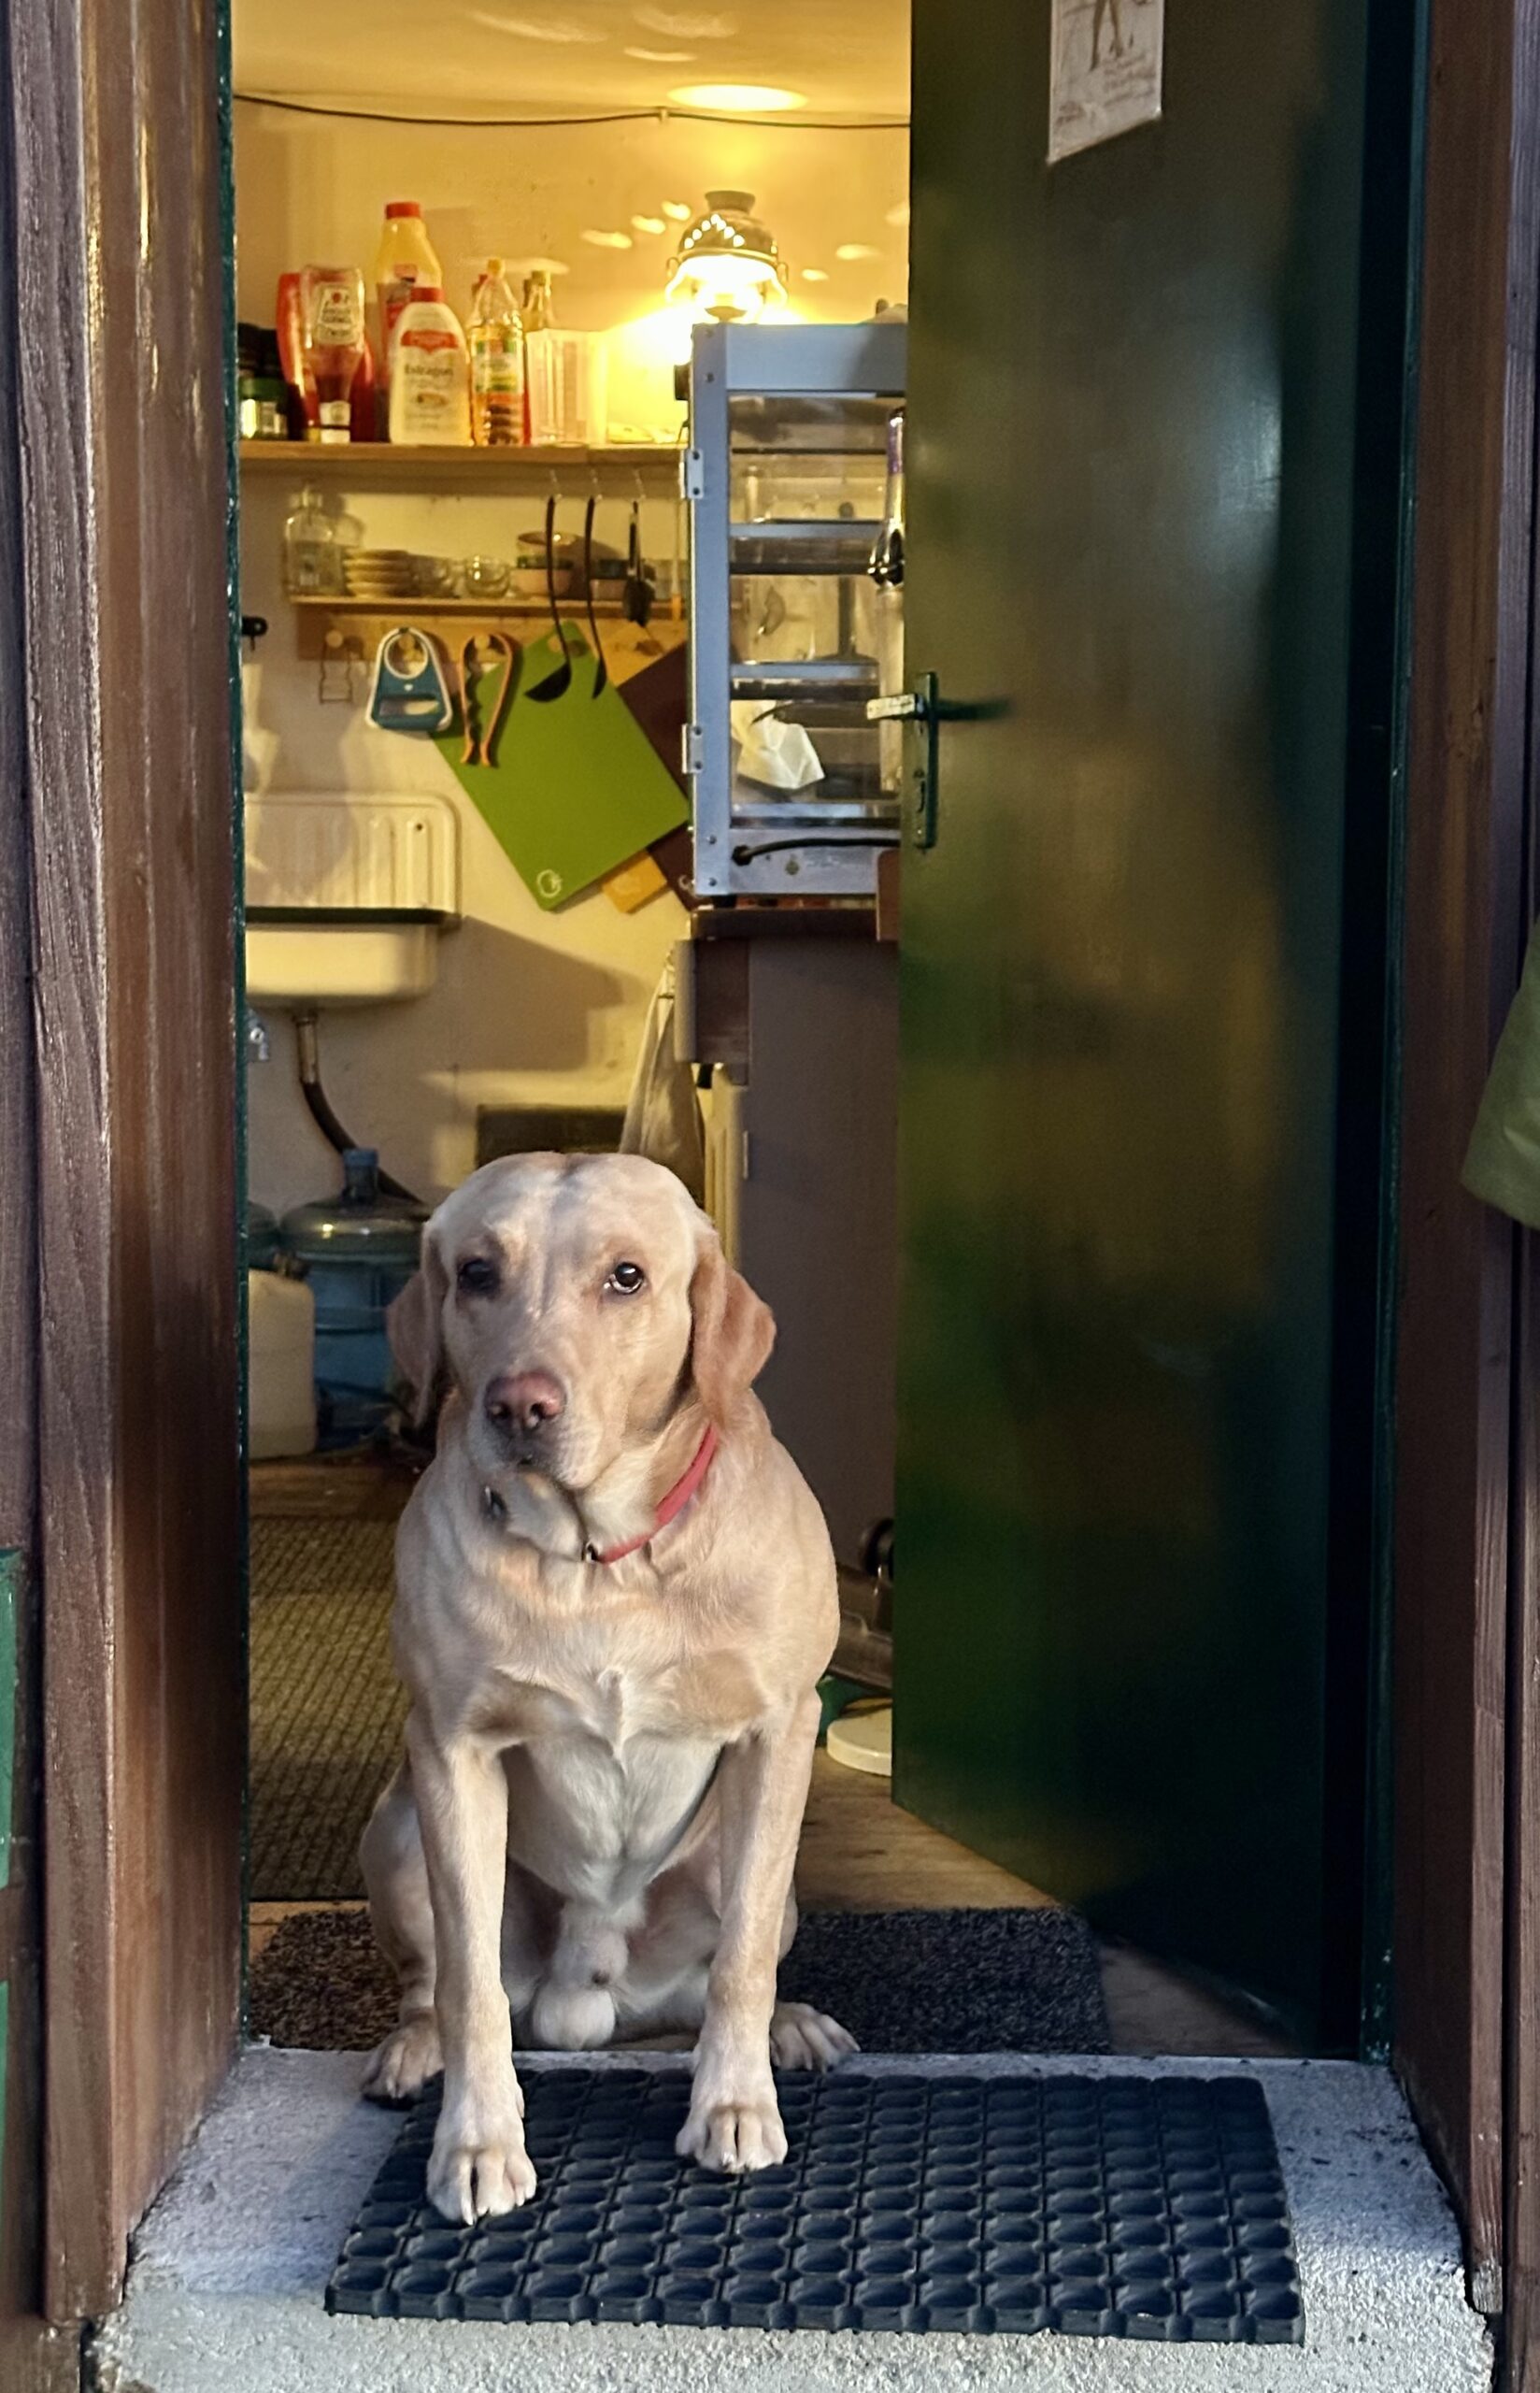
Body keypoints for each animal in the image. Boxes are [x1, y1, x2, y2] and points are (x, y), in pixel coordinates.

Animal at [359, 1151, 855, 2224]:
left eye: (626, 1277)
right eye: (475, 1273)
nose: (518, 1406)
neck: (596, 1556)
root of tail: (593, 1999)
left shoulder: (779, 1731)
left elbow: (742, 1962)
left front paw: (733, 2105)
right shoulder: (450, 1750)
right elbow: (468, 1988)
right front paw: (476, 2142)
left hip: (763, 1874)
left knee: (719, 1975)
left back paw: (788, 2029)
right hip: (400, 1828)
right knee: (437, 1984)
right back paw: (414, 2050)